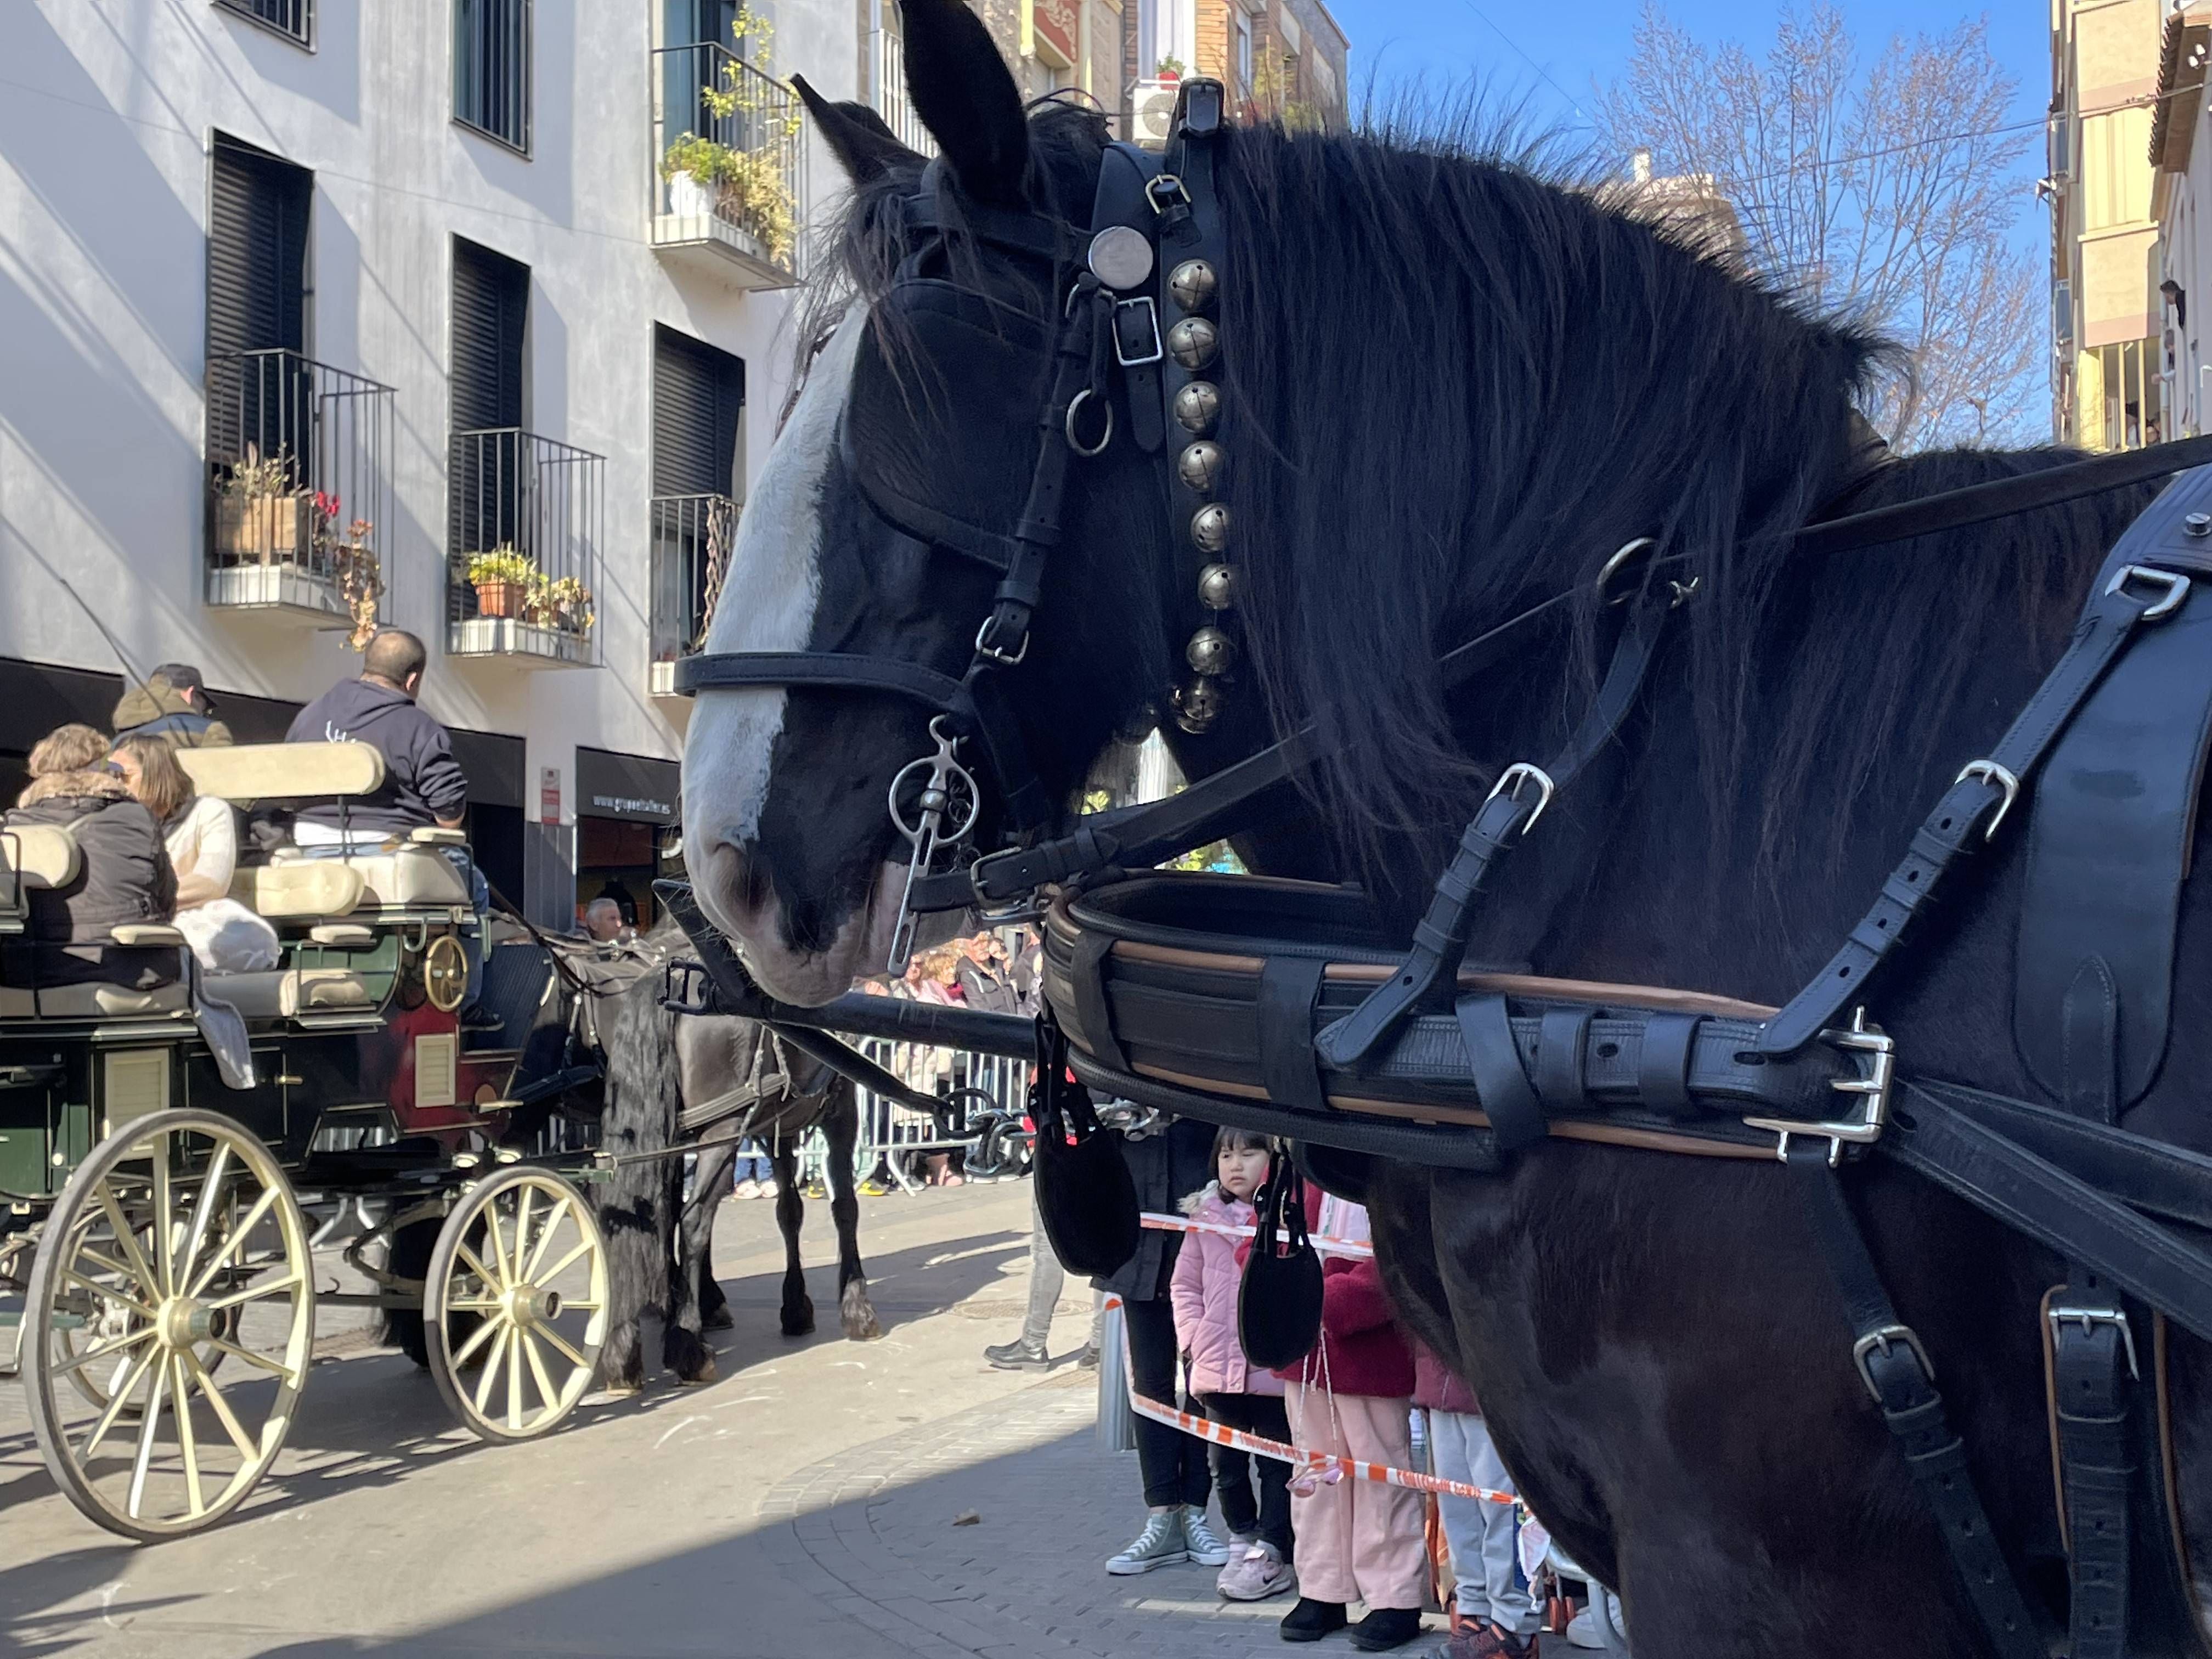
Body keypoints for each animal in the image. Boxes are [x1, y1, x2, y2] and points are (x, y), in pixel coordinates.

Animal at [601, 942, 884, 1398]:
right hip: (722, 1132)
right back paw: (689, 1348)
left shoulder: (780, 1127)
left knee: (640, 1219)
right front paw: (857, 1305)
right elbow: (845, 1209)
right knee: (694, 1220)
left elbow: (789, 1213)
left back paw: (623, 1354)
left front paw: (796, 1306)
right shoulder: (842, 1113)